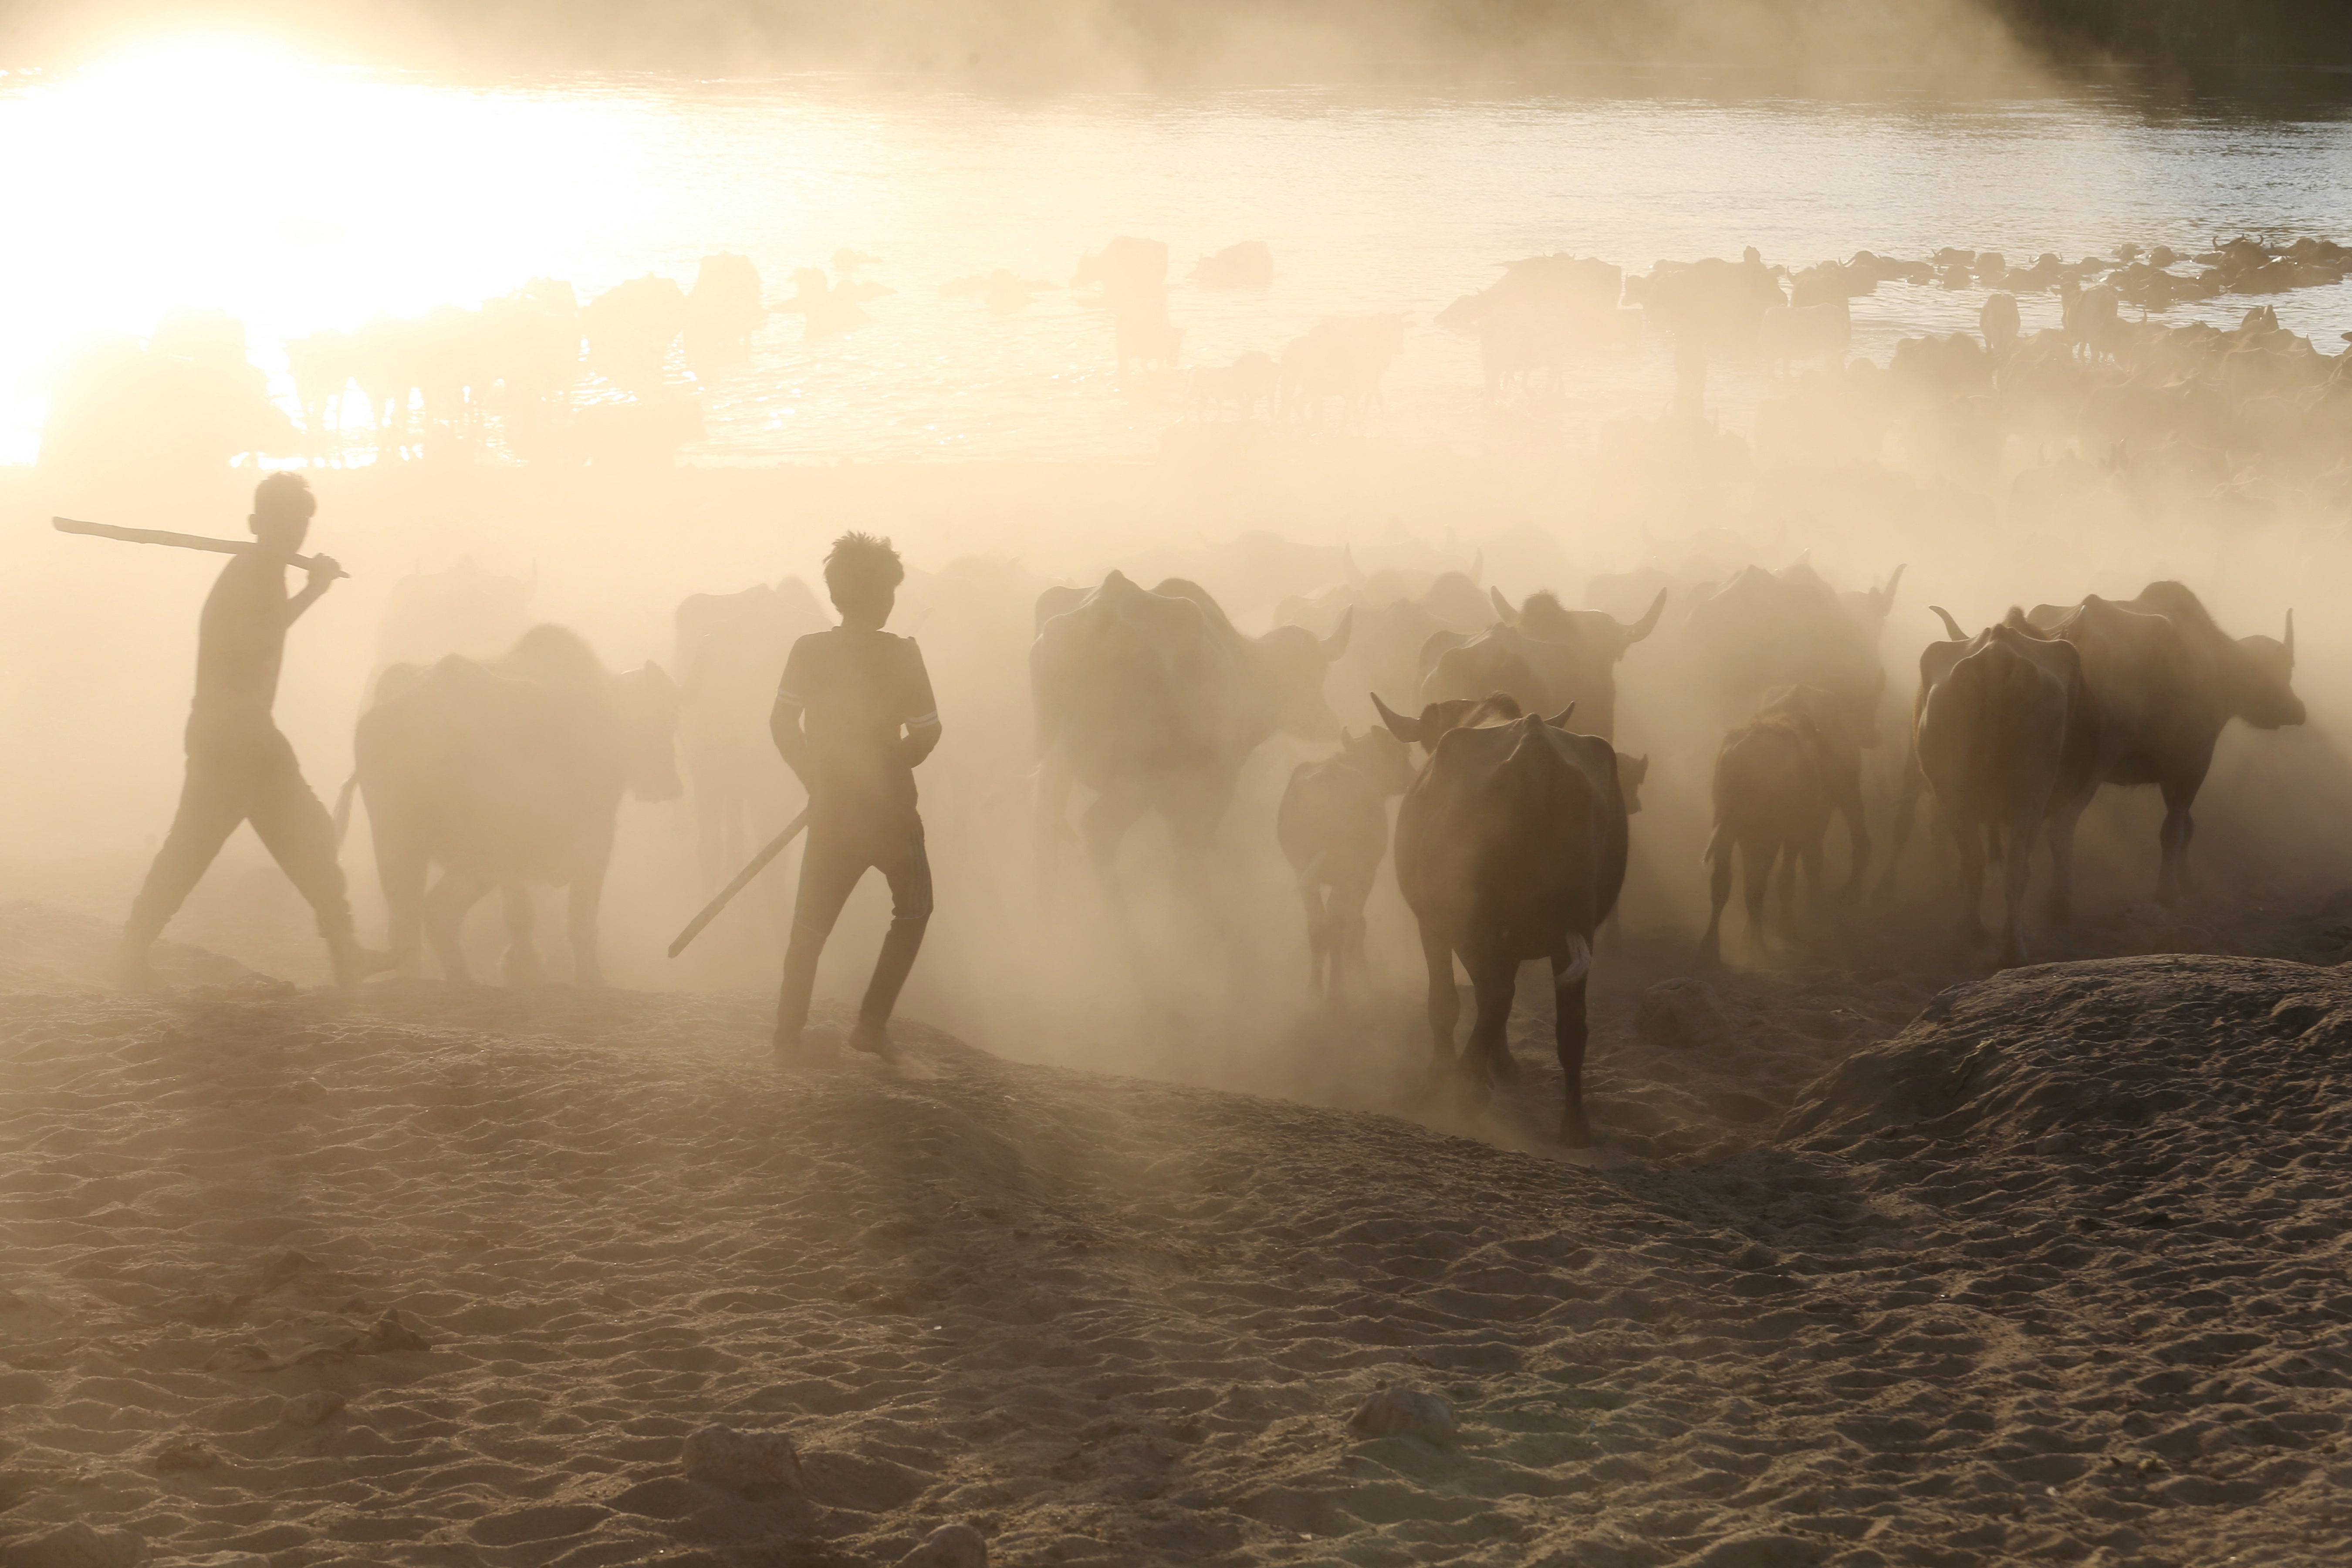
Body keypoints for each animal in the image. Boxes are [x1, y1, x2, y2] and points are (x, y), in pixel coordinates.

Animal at [1383, 705, 1627, 1147]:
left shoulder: (1434, 926)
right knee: (1571, 1023)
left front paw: (1443, 1076)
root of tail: (1535, 752)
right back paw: (1575, 1125)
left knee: (1494, 996)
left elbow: (1445, 1002)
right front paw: (1502, 1065)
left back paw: (1466, 1088)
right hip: (1573, 930)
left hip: (1475, 922)